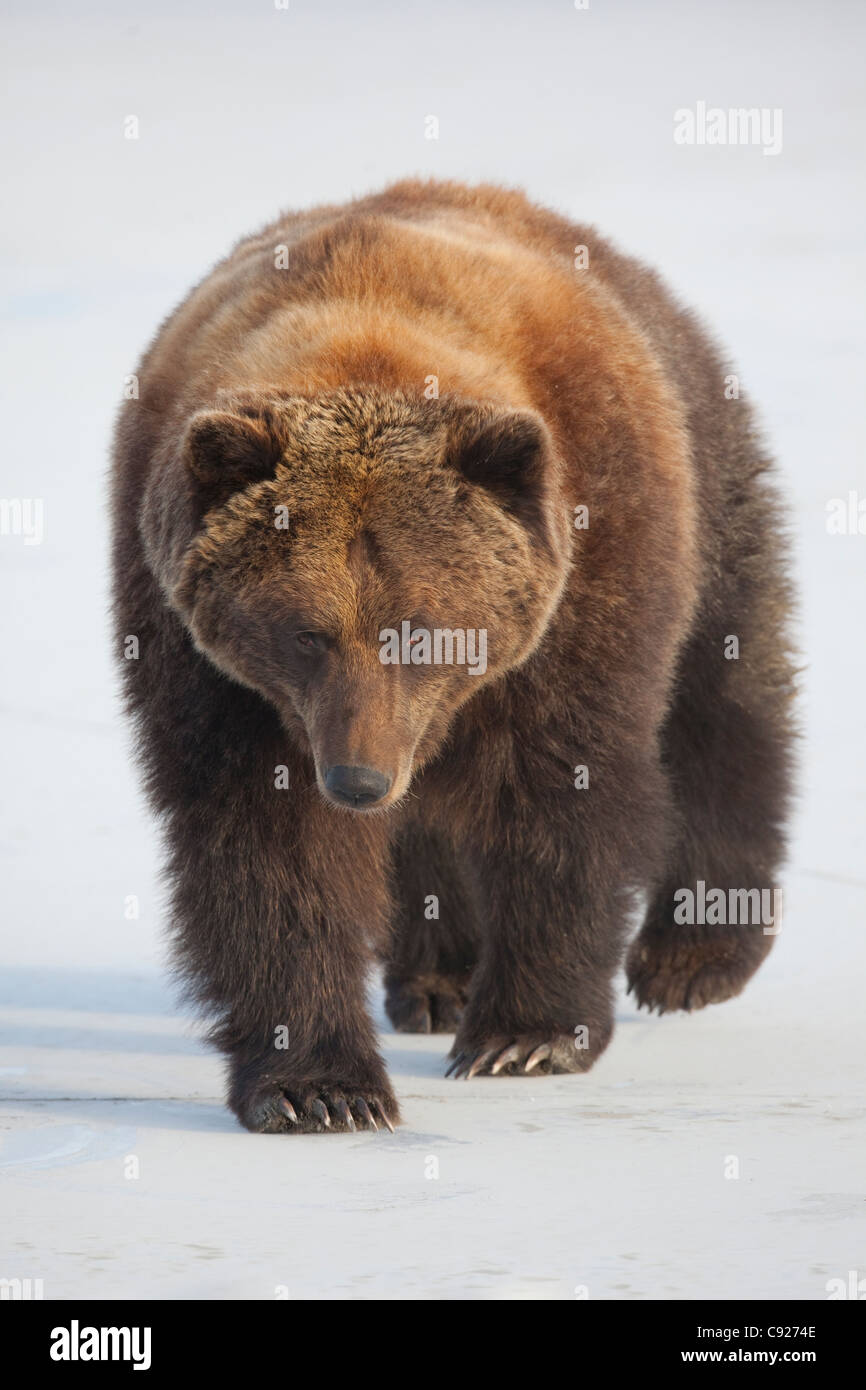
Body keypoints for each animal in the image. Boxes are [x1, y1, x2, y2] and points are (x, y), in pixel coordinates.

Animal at [111, 176, 795, 1128]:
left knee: (721, 695)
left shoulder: (585, 573)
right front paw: (319, 1084)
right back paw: (436, 978)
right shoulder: (212, 666)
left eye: (423, 627)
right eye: (305, 631)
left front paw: (526, 1034)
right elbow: (268, 842)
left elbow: (560, 789)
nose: (358, 780)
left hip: (700, 468)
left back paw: (694, 953)